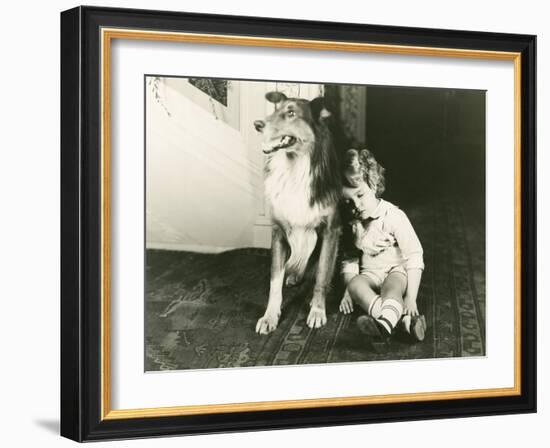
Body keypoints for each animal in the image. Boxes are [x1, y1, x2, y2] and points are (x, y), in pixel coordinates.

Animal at [254, 92, 340, 336]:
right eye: (276, 109)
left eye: (291, 113)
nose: (257, 125)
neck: (295, 169)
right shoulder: (278, 232)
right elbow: (274, 280)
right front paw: (270, 316)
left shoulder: (331, 230)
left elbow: (322, 274)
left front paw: (317, 310)